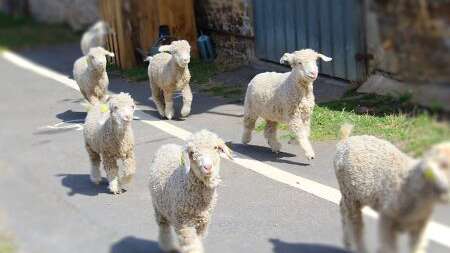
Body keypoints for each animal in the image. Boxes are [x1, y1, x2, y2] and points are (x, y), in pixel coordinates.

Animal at [332, 124, 450, 253]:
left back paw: (347, 241)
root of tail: (345, 140)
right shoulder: (387, 218)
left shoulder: (420, 226)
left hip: (358, 194)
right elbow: (388, 247)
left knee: (343, 209)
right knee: (355, 224)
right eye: (444, 165)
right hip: (350, 194)